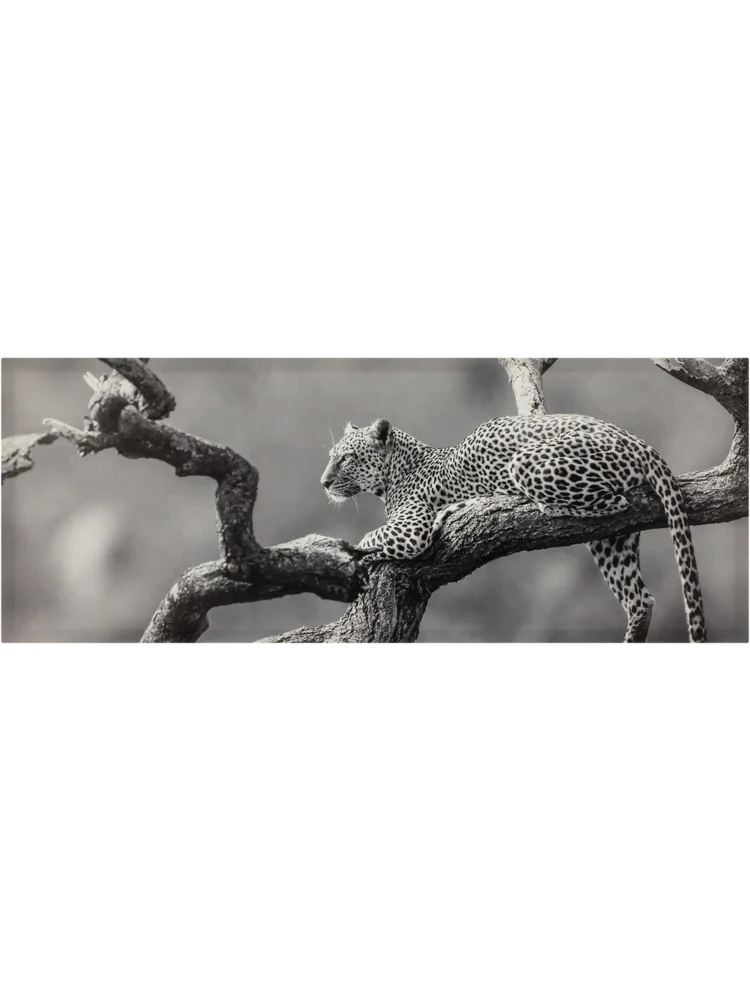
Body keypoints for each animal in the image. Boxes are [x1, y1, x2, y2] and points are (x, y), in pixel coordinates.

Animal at [320, 415, 707, 649]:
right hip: (613, 542)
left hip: (526, 463)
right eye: (331, 456)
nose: (323, 482)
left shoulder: (411, 529)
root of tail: (639, 442)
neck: (395, 472)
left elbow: (368, 539)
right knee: (641, 598)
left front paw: (350, 559)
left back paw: (543, 506)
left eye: (347, 458)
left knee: (616, 501)